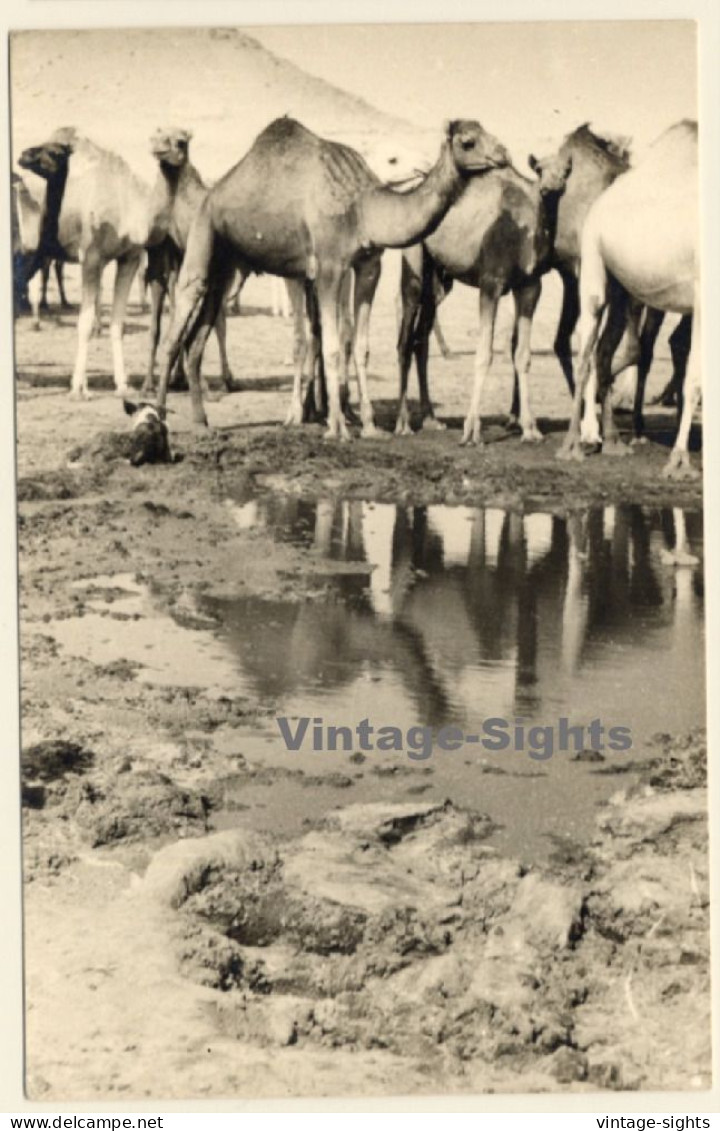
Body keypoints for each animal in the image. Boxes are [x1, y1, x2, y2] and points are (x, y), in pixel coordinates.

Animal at [17, 127, 151, 398]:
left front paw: (122, 385)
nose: (24, 155)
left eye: (55, 152)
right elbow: (84, 323)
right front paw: (77, 388)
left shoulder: (129, 258)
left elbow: (117, 323)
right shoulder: (90, 257)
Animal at [144, 127, 233, 391]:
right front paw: (152, 383)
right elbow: (161, 326)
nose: (159, 145)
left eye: (181, 142)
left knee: (220, 321)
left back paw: (225, 379)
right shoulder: (162, 260)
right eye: (155, 135)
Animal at [153, 114, 508, 432]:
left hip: (226, 267)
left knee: (197, 339)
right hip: (202, 239)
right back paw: (159, 417)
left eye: (486, 130)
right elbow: (331, 346)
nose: (503, 153)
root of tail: (210, 194)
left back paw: (202, 423)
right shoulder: (327, 267)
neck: (363, 205)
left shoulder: (369, 265)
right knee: (176, 330)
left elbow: (360, 344)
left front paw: (368, 424)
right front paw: (335, 426)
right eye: (468, 141)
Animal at [395, 152, 569, 443]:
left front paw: (531, 429)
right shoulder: (490, 283)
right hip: (414, 263)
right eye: (540, 169)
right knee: (404, 340)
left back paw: (432, 419)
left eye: (567, 170)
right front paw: (471, 430)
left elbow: (523, 354)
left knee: (421, 339)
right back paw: (403, 423)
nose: (550, 187)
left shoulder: (531, 286)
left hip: (438, 281)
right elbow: (484, 354)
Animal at [558, 120, 700, 477]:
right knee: (586, 348)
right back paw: (573, 445)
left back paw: (612, 441)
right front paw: (679, 461)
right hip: (593, 262)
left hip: (624, 289)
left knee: (606, 350)